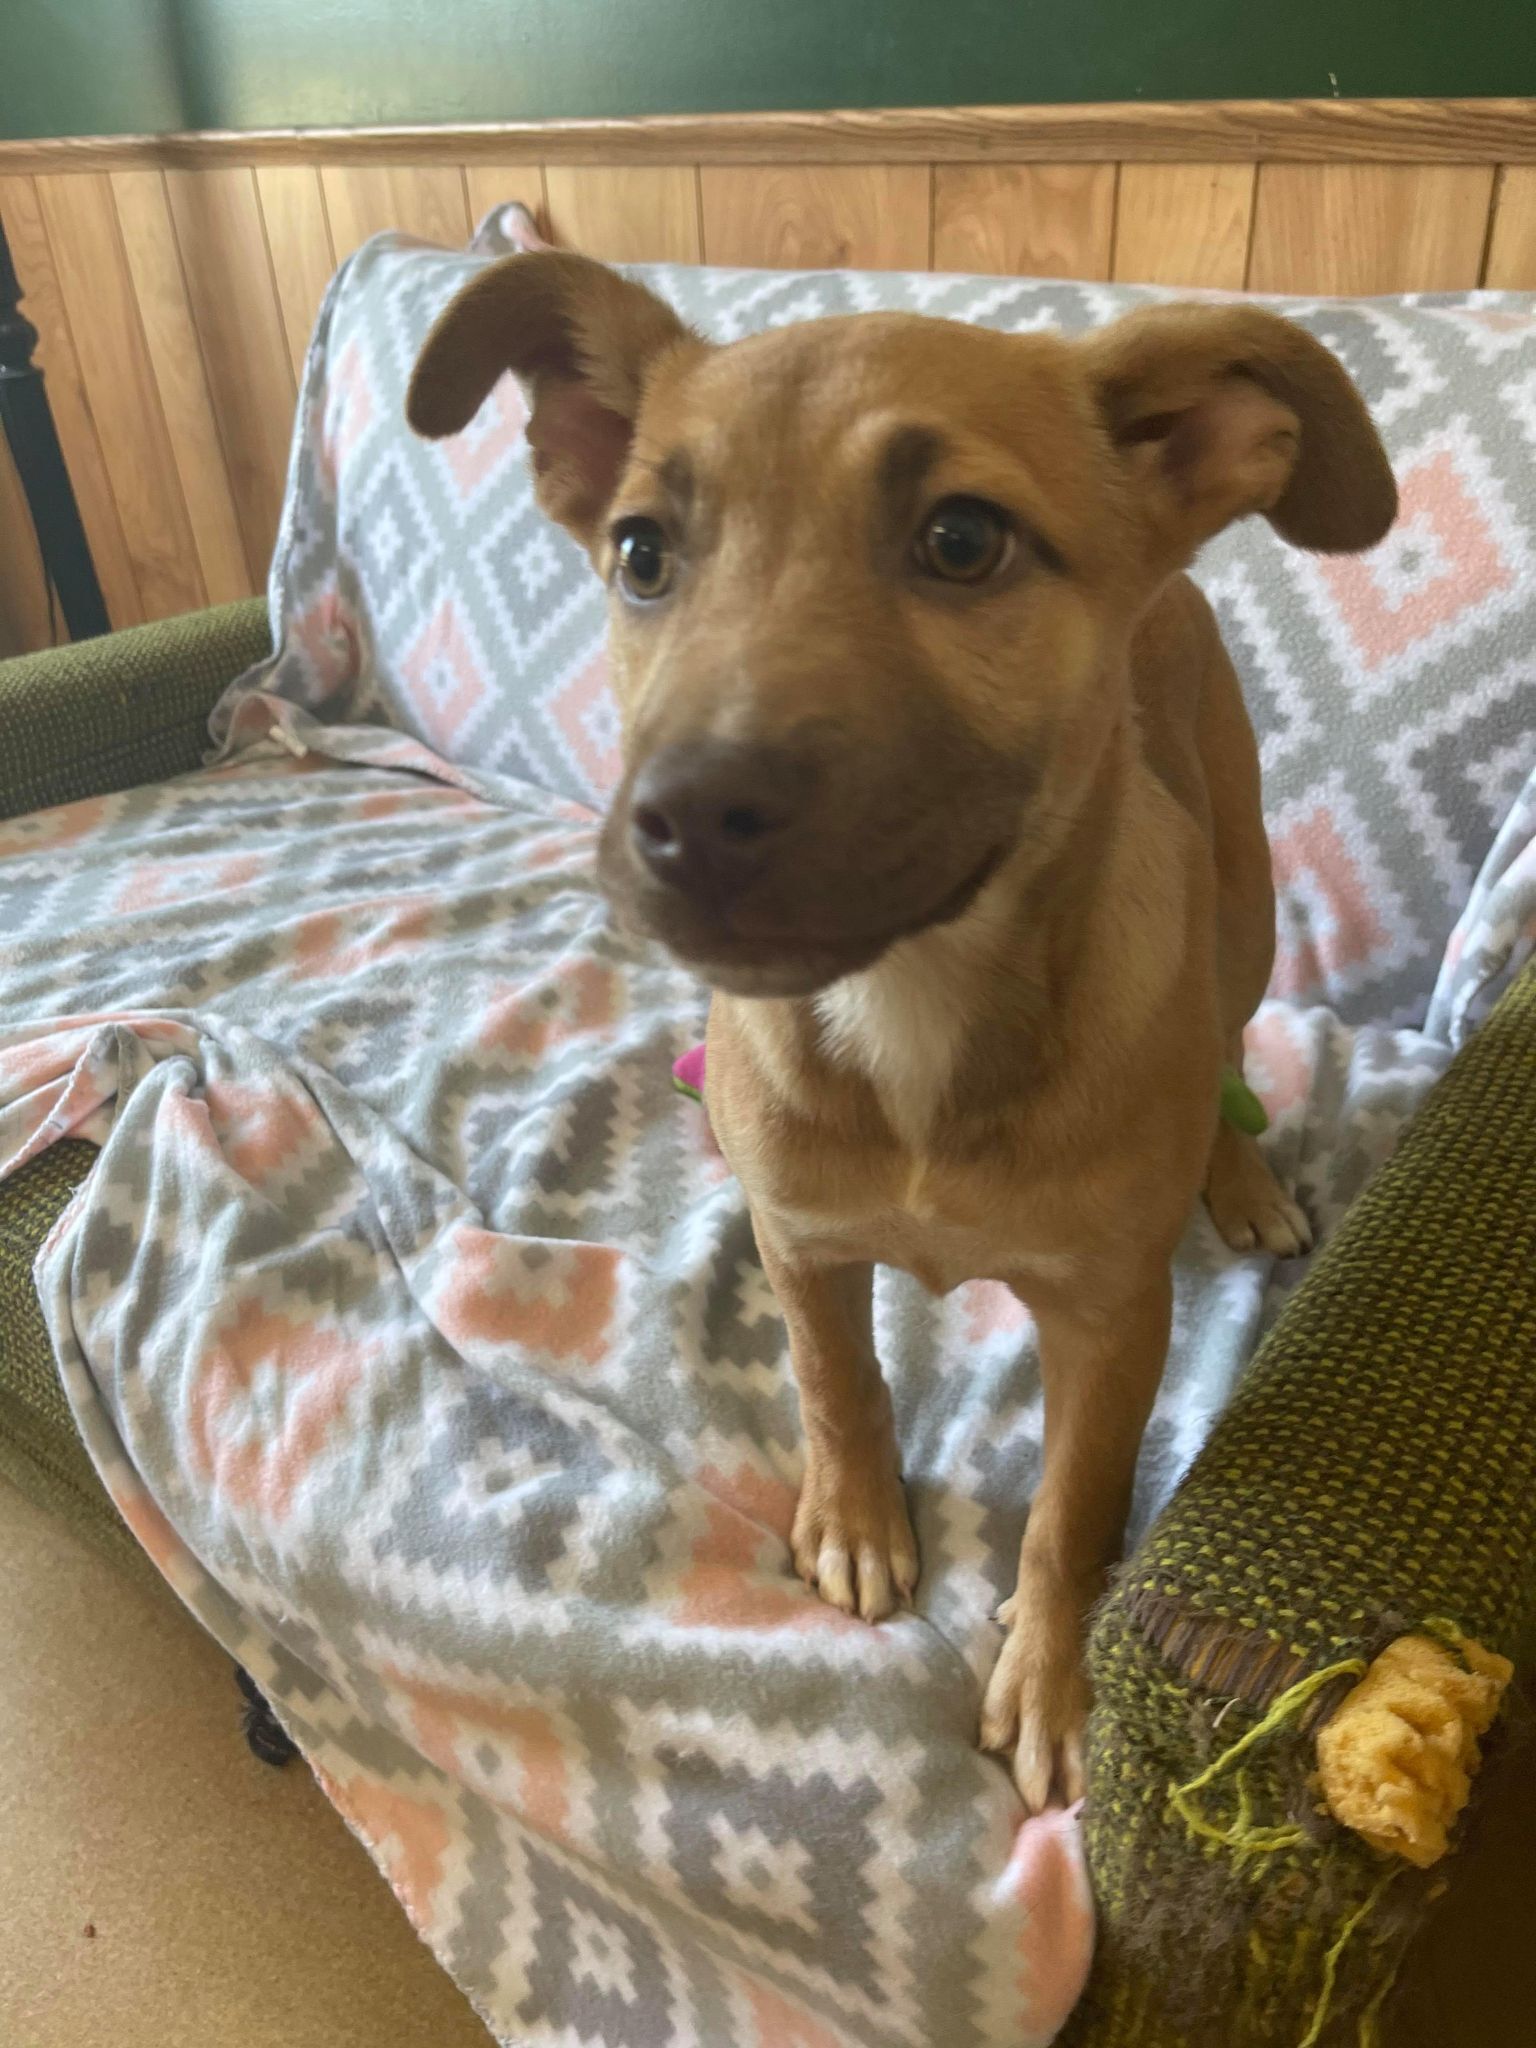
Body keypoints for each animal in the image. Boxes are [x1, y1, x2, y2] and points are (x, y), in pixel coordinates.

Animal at [409, 256, 1392, 1810]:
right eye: (642, 554)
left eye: (963, 539)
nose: (686, 821)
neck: (918, 1002)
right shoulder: (802, 1238)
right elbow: (835, 1381)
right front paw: (860, 1520)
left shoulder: (1112, 1318)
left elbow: (1069, 1511)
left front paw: (1048, 1675)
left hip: (1239, 900)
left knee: (1230, 1048)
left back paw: (1234, 1177)